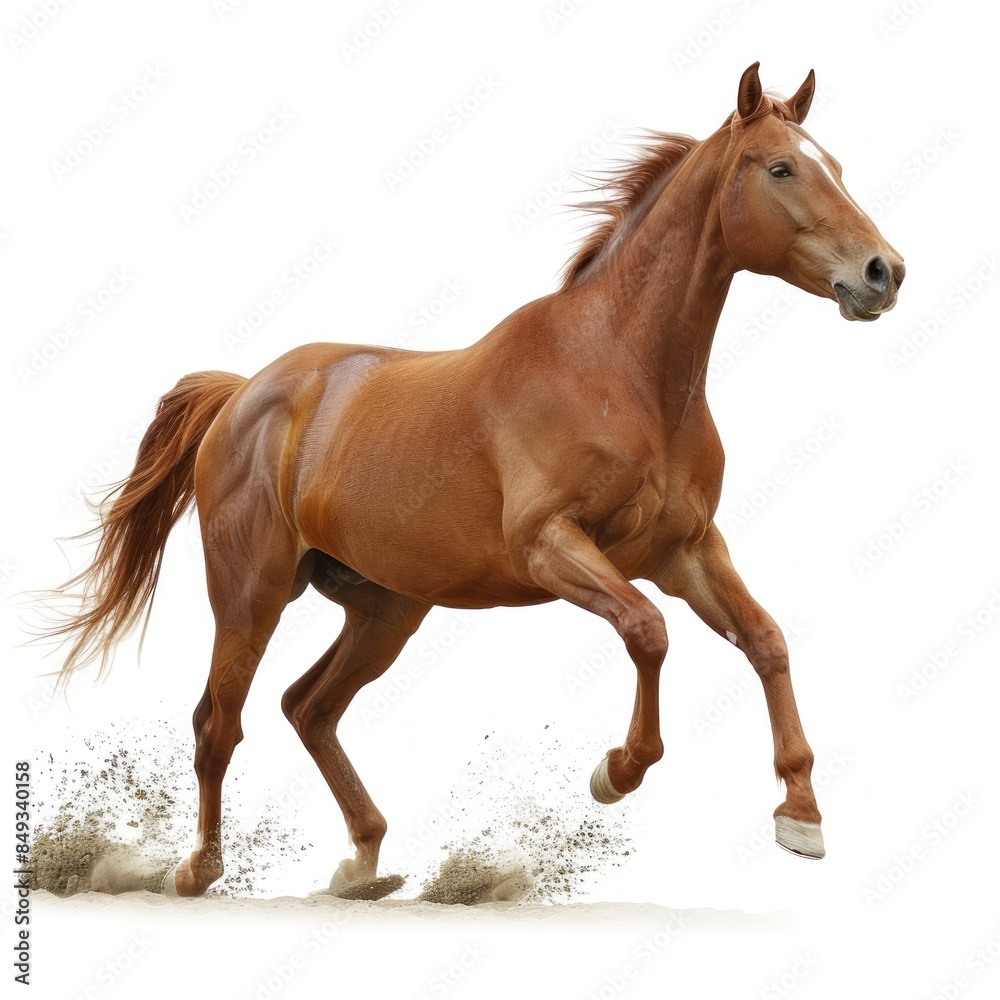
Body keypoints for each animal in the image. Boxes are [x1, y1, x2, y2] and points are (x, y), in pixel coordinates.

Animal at [45, 63, 904, 898]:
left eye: (836, 166)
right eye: (781, 167)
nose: (883, 272)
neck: (622, 374)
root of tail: (243, 394)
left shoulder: (685, 551)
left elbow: (766, 641)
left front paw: (801, 815)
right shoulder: (550, 546)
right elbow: (647, 631)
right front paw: (617, 772)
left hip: (387, 609)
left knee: (308, 706)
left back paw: (364, 865)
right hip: (251, 594)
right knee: (218, 724)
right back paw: (200, 870)